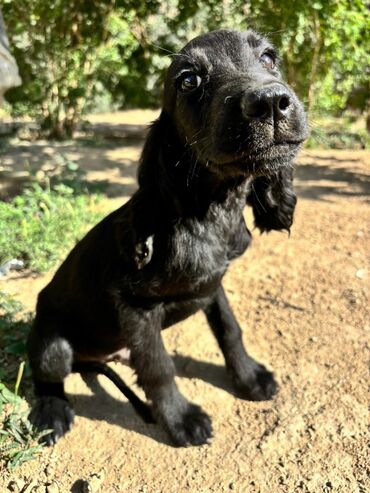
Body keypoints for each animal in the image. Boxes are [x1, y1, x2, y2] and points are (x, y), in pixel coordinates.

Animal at [28, 29, 306, 446]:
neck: (212, 213)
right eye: (188, 80)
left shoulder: (213, 284)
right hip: (53, 344)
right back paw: (52, 412)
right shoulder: (135, 306)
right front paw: (181, 420)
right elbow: (159, 368)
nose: (271, 102)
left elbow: (230, 330)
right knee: (48, 375)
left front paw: (249, 378)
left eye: (269, 58)